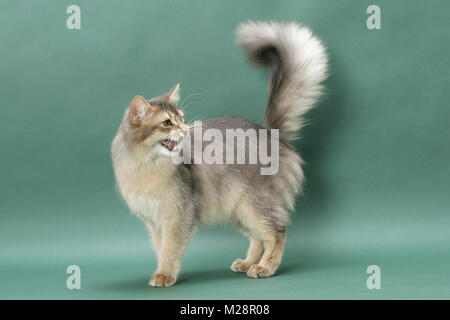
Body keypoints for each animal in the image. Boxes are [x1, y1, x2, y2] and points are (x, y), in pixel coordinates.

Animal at [109, 20, 326, 288]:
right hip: (237, 209)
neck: (145, 167)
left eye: (182, 118)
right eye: (167, 123)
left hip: (254, 205)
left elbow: (171, 250)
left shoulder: (178, 216)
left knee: (276, 233)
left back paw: (264, 268)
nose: (185, 129)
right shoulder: (153, 222)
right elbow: (161, 249)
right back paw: (247, 264)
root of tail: (270, 133)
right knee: (258, 237)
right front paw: (161, 272)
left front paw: (165, 275)